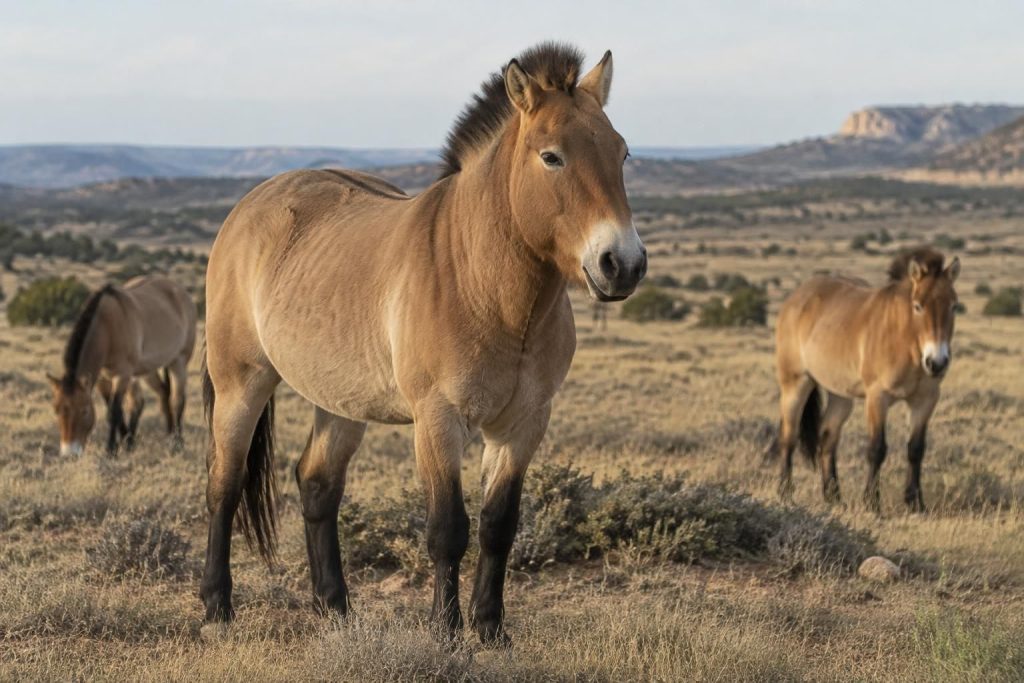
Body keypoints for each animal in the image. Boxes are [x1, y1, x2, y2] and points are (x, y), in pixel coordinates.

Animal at [47, 276, 198, 456]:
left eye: (84, 410)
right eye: (56, 409)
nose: (69, 452)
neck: (107, 328)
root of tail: (182, 293)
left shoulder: (122, 375)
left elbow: (114, 411)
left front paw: (111, 449)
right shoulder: (103, 379)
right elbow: (114, 409)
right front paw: (127, 442)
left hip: (178, 362)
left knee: (177, 400)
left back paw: (177, 441)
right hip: (146, 370)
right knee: (158, 395)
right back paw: (167, 436)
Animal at [200, 42, 646, 645]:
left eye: (622, 154)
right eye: (551, 157)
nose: (622, 264)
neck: (485, 285)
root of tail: (250, 205)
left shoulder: (524, 423)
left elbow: (499, 525)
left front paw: (490, 628)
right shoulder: (438, 419)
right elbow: (447, 529)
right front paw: (446, 630)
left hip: (340, 402)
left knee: (317, 485)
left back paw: (335, 609)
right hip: (240, 385)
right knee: (224, 485)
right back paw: (217, 607)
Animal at [772, 247, 960, 511]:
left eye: (954, 306)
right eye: (917, 306)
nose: (937, 362)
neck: (904, 340)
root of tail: (796, 298)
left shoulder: (925, 399)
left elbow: (916, 449)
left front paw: (915, 503)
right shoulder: (877, 397)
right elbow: (877, 449)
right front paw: (872, 502)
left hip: (841, 396)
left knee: (827, 438)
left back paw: (834, 498)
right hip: (796, 384)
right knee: (788, 437)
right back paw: (786, 495)